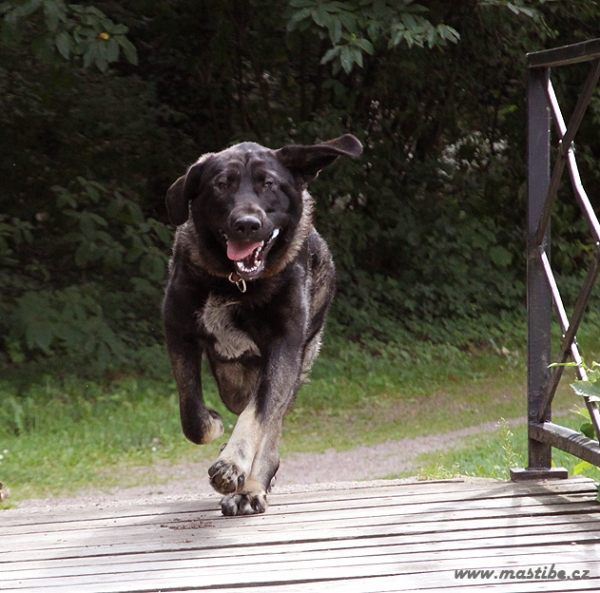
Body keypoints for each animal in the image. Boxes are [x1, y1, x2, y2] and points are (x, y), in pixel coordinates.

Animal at [162, 134, 364, 512]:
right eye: (221, 184)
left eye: (268, 184)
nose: (246, 223)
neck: (235, 283)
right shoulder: (178, 331)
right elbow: (192, 413)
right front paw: (213, 426)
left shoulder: (283, 349)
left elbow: (258, 415)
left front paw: (233, 463)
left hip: (298, 363)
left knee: (271, 428)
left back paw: (251, 487)